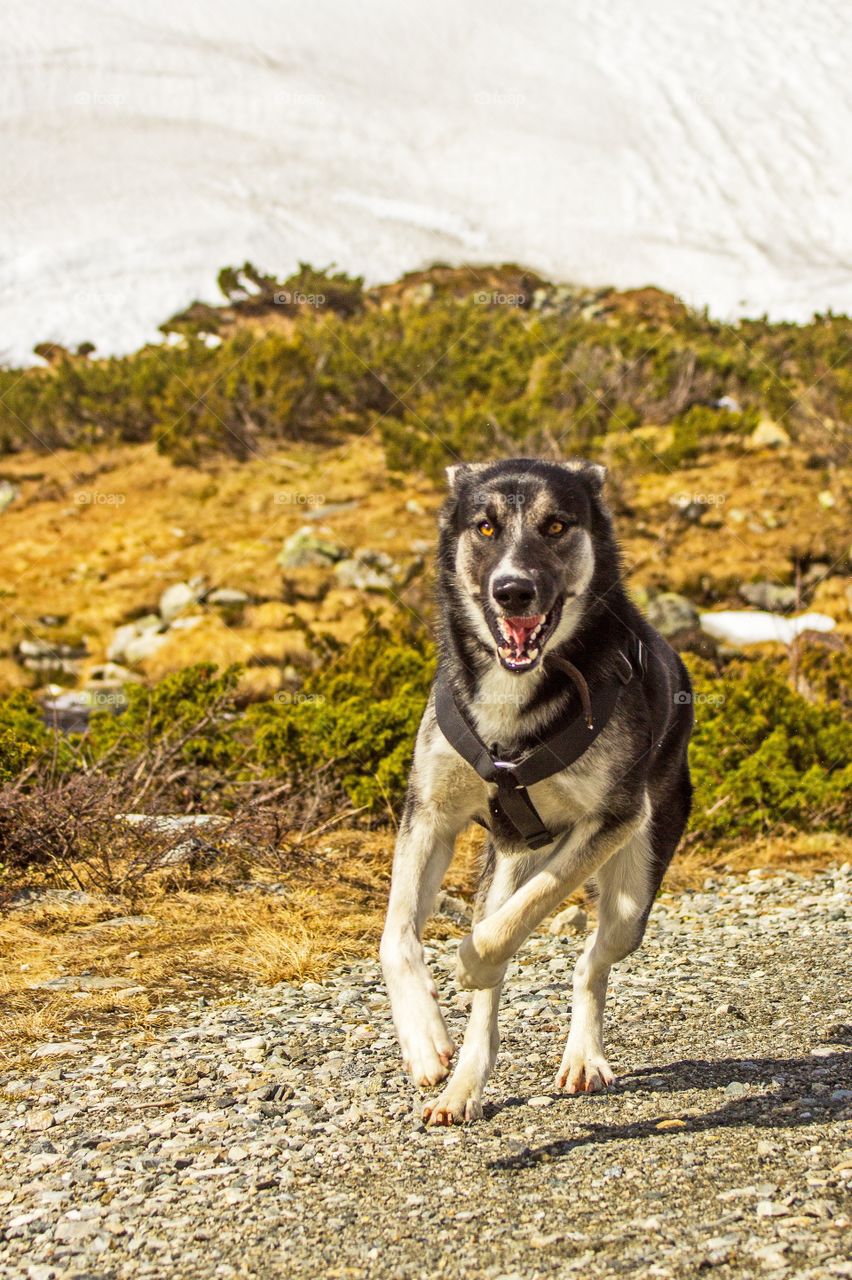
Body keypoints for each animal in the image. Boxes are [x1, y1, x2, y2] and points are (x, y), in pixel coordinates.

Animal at [378, 458, 690, 1121]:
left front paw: (468, 960)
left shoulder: (612, 819)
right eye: (485, 527)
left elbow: (520, 917)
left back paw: (582, 1056)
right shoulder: (429, 814)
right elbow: (396, 935)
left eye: (556, 526)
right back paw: (463, 1087)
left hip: (632, 895)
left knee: (589, 960)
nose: (513, 590)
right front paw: (423, 1040)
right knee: (493, 984)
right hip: (504, 861)